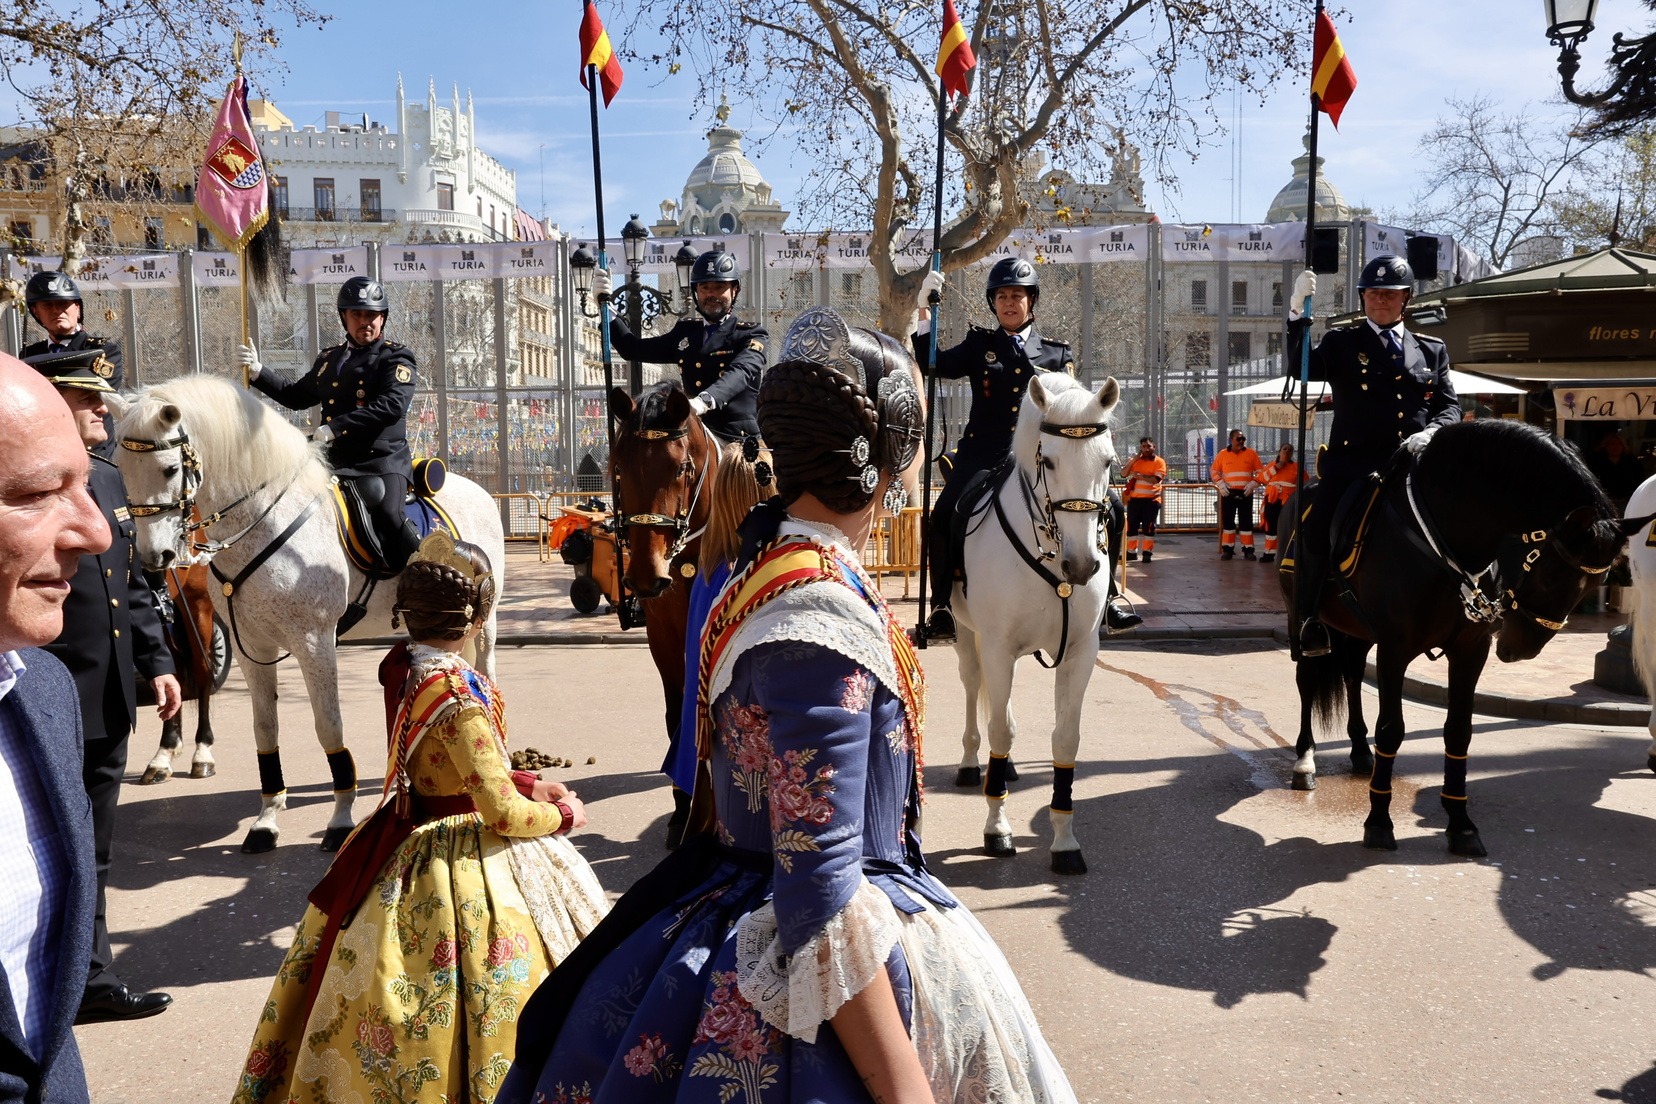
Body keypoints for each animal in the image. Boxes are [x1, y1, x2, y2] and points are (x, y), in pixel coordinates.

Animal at [112, 376, 505, 853]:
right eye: (120, 467)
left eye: (169, 469)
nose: (156, 558)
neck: (262, 518)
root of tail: (477, 488)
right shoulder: (252, 646)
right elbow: (265, 728)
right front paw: (266, 819)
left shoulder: (315, 642)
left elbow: (328, 727)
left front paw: (340, 819)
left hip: (485, 623)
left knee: (487, 674)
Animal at [952, 372, 1122, 876]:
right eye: (1048, 460)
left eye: (1108, 461)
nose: (1081, 565)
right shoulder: (996, 646)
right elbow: (1000, 730)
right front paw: (997, 828)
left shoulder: (1081, 651)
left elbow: (1065, 739)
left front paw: (1064, 840)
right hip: (967, 636)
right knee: (974, 690)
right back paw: (972, 763)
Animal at [1280, 418, 1641, 856]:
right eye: (1552, 574)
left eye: (1595, 584)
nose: (1521, 648)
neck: (1446, 543)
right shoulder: (1395, 649)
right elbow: (1392, 728)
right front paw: (1379, 821)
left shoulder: (1471, 651)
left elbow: (1459, 731)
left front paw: (1461, 822)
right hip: (1301, 618)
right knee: (1307, 678)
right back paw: (1306, 758)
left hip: (1358, 630)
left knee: (1351, 673)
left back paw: (1362, 751)